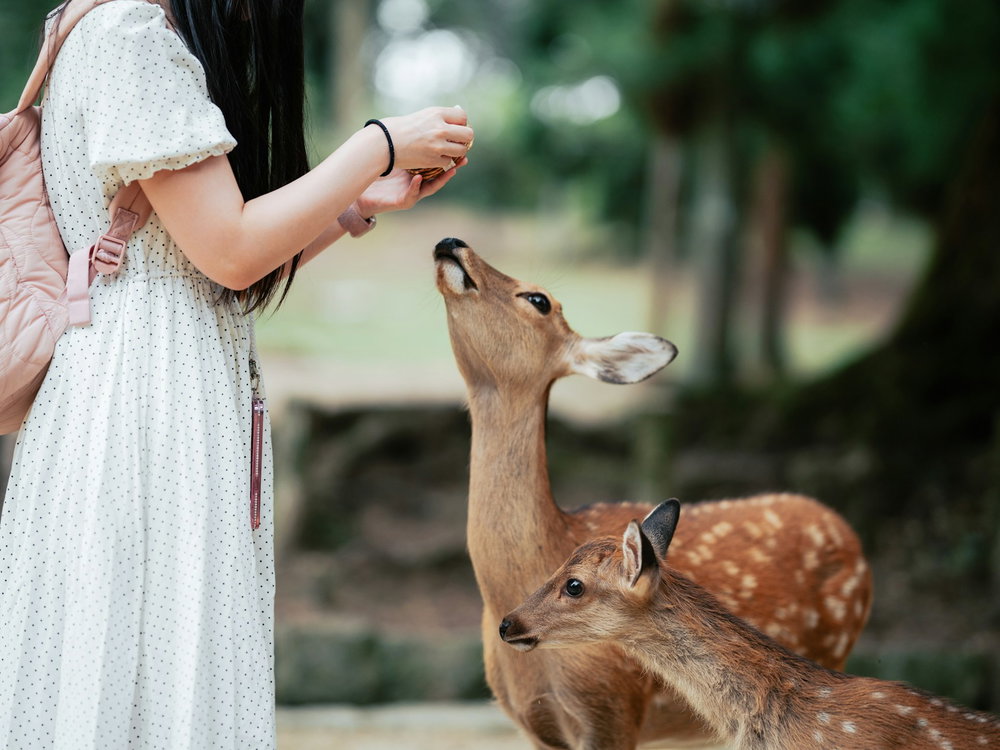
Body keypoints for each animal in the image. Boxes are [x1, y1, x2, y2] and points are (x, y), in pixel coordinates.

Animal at [433, 237, 874, 749]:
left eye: (538, 299)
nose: (452, 243)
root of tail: (847, 532)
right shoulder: (533, 723)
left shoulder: (614, 706)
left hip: (831, 652)